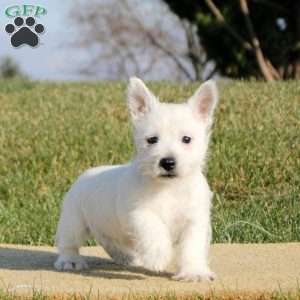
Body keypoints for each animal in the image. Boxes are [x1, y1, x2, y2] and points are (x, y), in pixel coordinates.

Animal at [54, 77, 218, 282]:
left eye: (186, 139)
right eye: (152, 139)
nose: (168, 162)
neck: (169, 187)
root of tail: (85, 174)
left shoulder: (195, 220)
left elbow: (192, 246)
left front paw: (194, 272)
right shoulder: (139, 212)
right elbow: (154, 228)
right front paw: (158, 257)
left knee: (111, 242)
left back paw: (129, 258)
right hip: (73, 220)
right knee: (68, 243)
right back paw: (70, 261)